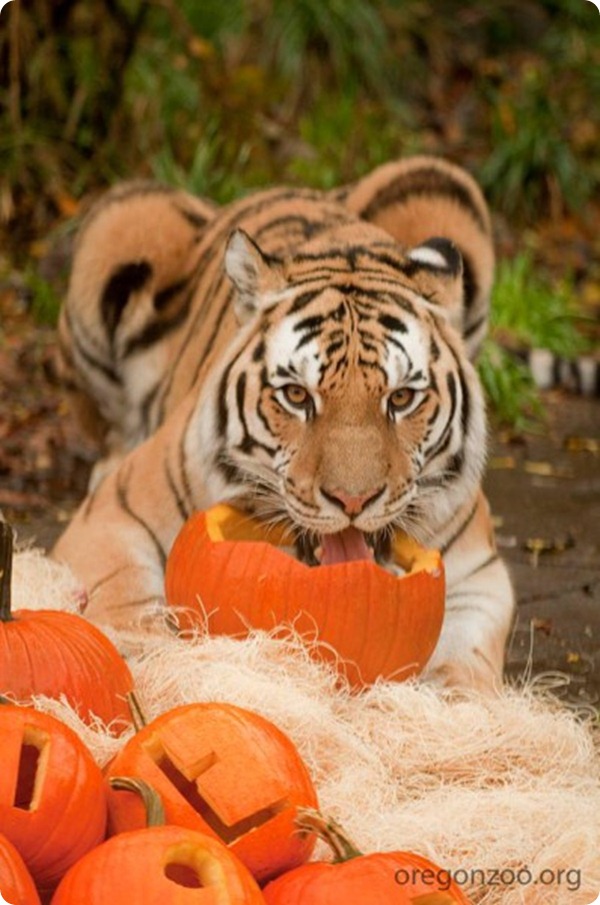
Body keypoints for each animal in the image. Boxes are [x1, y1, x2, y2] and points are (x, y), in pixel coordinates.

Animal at [51, 155, 512, 692]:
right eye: (296, 395)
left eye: (400, 398)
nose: (352, 502)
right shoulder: (113, 517)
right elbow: (126, 603)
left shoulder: (481, 575)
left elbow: (467, 663)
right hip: (119, 228)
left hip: (444, 180)